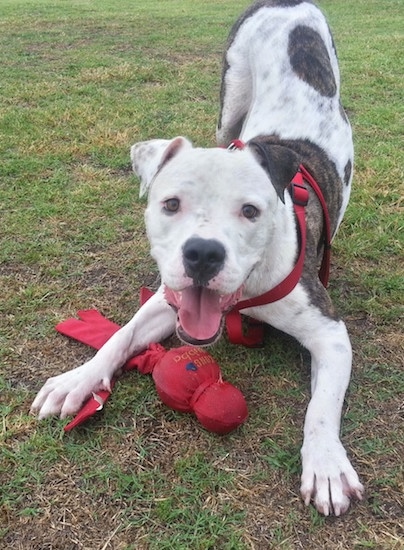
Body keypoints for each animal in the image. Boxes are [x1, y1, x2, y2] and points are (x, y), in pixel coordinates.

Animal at [33, 0, 364, 516]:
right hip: (231, 98)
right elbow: (120, 336)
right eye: (171, 204)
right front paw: (78, 380)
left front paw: (327, 464)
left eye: (250, 211)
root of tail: (286, 5)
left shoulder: (329, 332)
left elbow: (322, 407)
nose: (203, 253)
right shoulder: (165, 300)